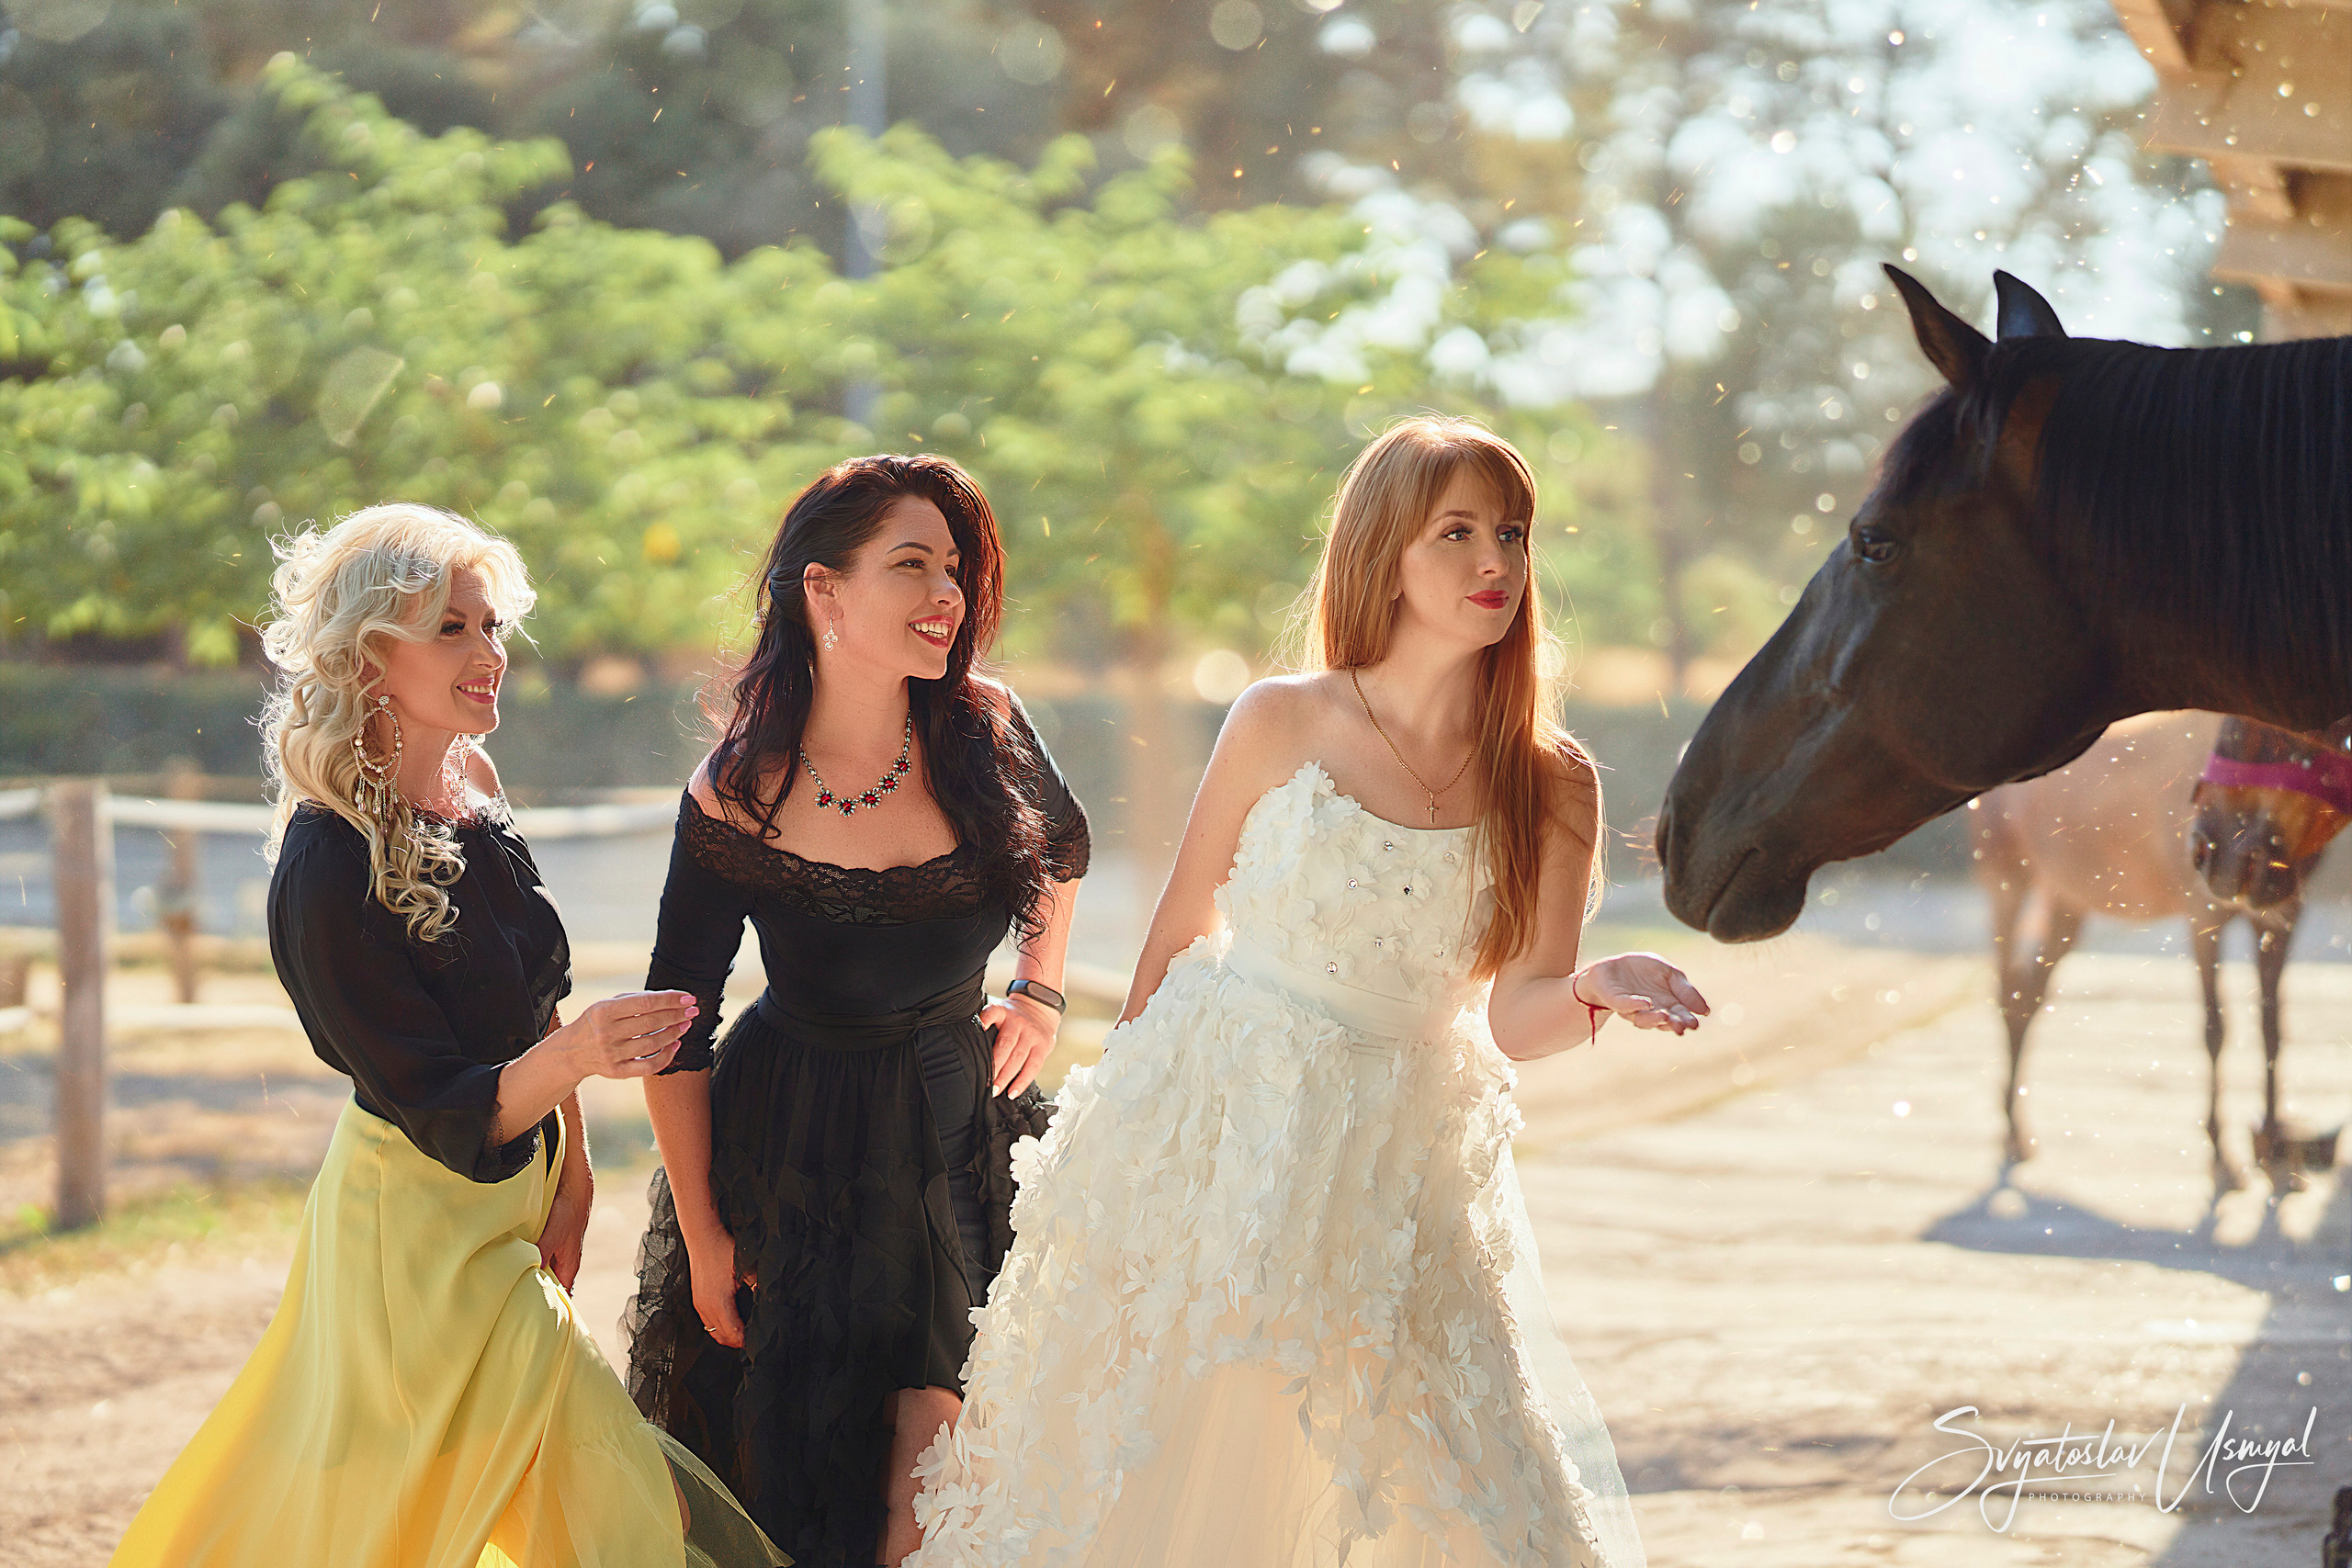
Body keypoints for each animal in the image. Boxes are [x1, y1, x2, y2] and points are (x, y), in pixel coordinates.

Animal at [1979, 712, 2315, 1192]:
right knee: (2008, 992)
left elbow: (2273, 1029)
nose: (2222, 854)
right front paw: (2221, 1155)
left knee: (2028, 996)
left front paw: (2273, 1152)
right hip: (2006, 879)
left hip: (2066, 898)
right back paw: (2011, 1134)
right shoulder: (2203, 915)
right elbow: (2216, 1029)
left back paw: (2018, 1129)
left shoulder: (2280, 920)